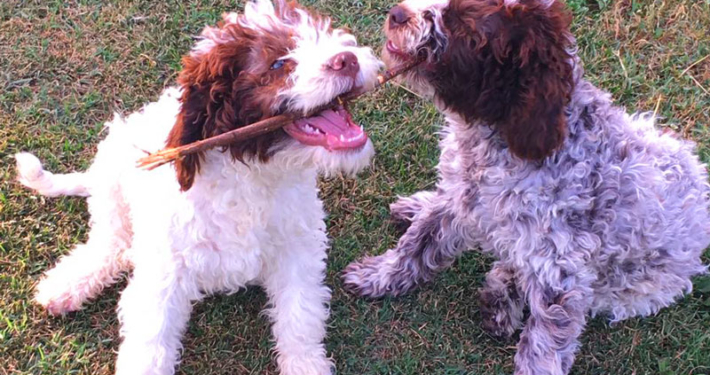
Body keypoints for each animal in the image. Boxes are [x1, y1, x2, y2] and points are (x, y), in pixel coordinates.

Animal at [15, 0, 384, 375]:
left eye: (329, 34)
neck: (251, 174)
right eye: (279, 64)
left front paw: (306, 364)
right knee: (112, 241)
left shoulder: (297, 251)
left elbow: (300, 316)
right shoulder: (164, 273)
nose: (347, 59)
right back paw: (68, 284)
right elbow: (150, 343)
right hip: (112, 173)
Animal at [344, 1, 710, 374]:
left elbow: (544, 343)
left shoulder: (562, 270)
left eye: (464, 24)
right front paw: (378, 275)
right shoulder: (461, 196)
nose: (398, 14)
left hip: (628, 290)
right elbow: (416, 245)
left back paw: (501, 299)